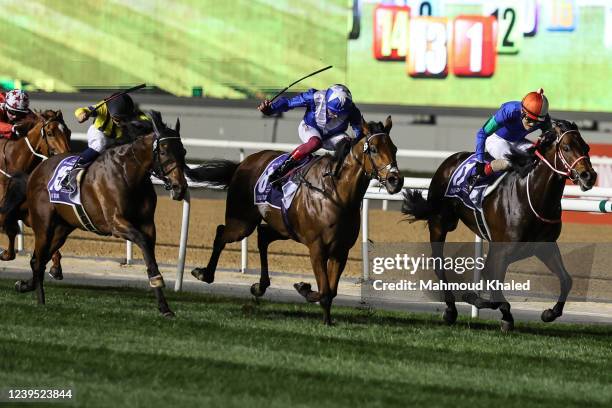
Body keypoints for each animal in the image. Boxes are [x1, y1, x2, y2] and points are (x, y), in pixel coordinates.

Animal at [186, 118, 404, 326]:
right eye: (374, 149)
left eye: (394, 148)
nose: (396, 180)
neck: (336, 194)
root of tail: (242, 164)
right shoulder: (317, 248)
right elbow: (325, 291)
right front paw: (323, 317)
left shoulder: (341, 250)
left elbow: (330, 290)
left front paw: (308, 294)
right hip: (242, 222)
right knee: (221, 233)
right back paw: (205, 274)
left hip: (285, 228)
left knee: (263, 236)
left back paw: (259, 286)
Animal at [402, 119, 596, 330]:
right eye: (566, 147)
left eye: (586, 147)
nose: (589, 176)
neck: (533, 196)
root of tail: (451, 159)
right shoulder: (502, 250)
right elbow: (492, 284)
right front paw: (480, 302)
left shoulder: (543, 246)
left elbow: (566, 280)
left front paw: (549, 313)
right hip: (439, 223)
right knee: (439, 264)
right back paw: (451, 310)